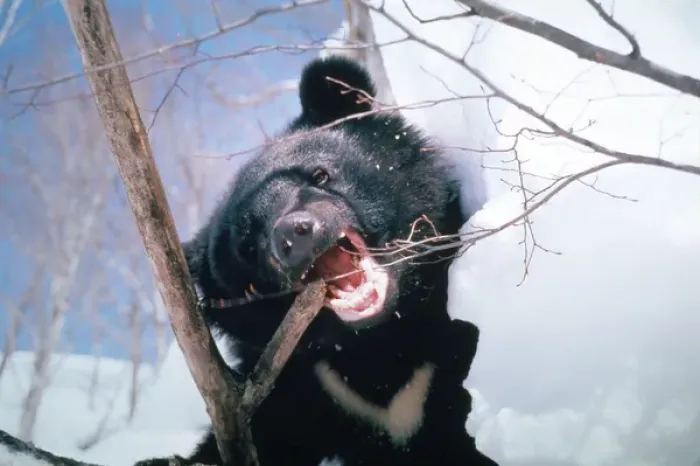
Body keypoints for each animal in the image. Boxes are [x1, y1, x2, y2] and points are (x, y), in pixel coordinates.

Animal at [136, 56, 499, 466]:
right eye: (248, 246)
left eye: (320, 175)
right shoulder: (307, 387)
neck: (380, 340)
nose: (293, 235)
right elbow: (266, 434)